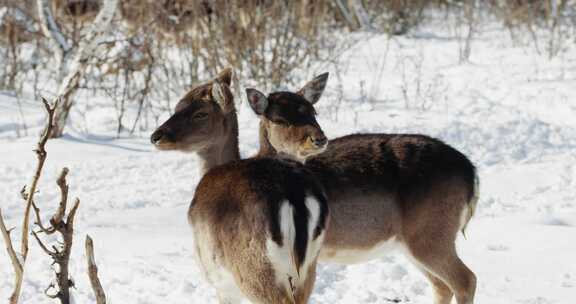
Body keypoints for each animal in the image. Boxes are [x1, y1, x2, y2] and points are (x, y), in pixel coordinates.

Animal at [151, 70, 330, 302]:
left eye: (200, 113)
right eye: (177, 107)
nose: (156, 136)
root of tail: (294, 198)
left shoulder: (220, 282)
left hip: (252, 268)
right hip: (309, 268)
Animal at [258, 79, 480, 302]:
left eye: (314, 112)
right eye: (279, 120)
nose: (318, 139)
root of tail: (471, 173)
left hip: (431, 232)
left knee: (465, 280)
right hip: (413, 242)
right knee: (441, 285)